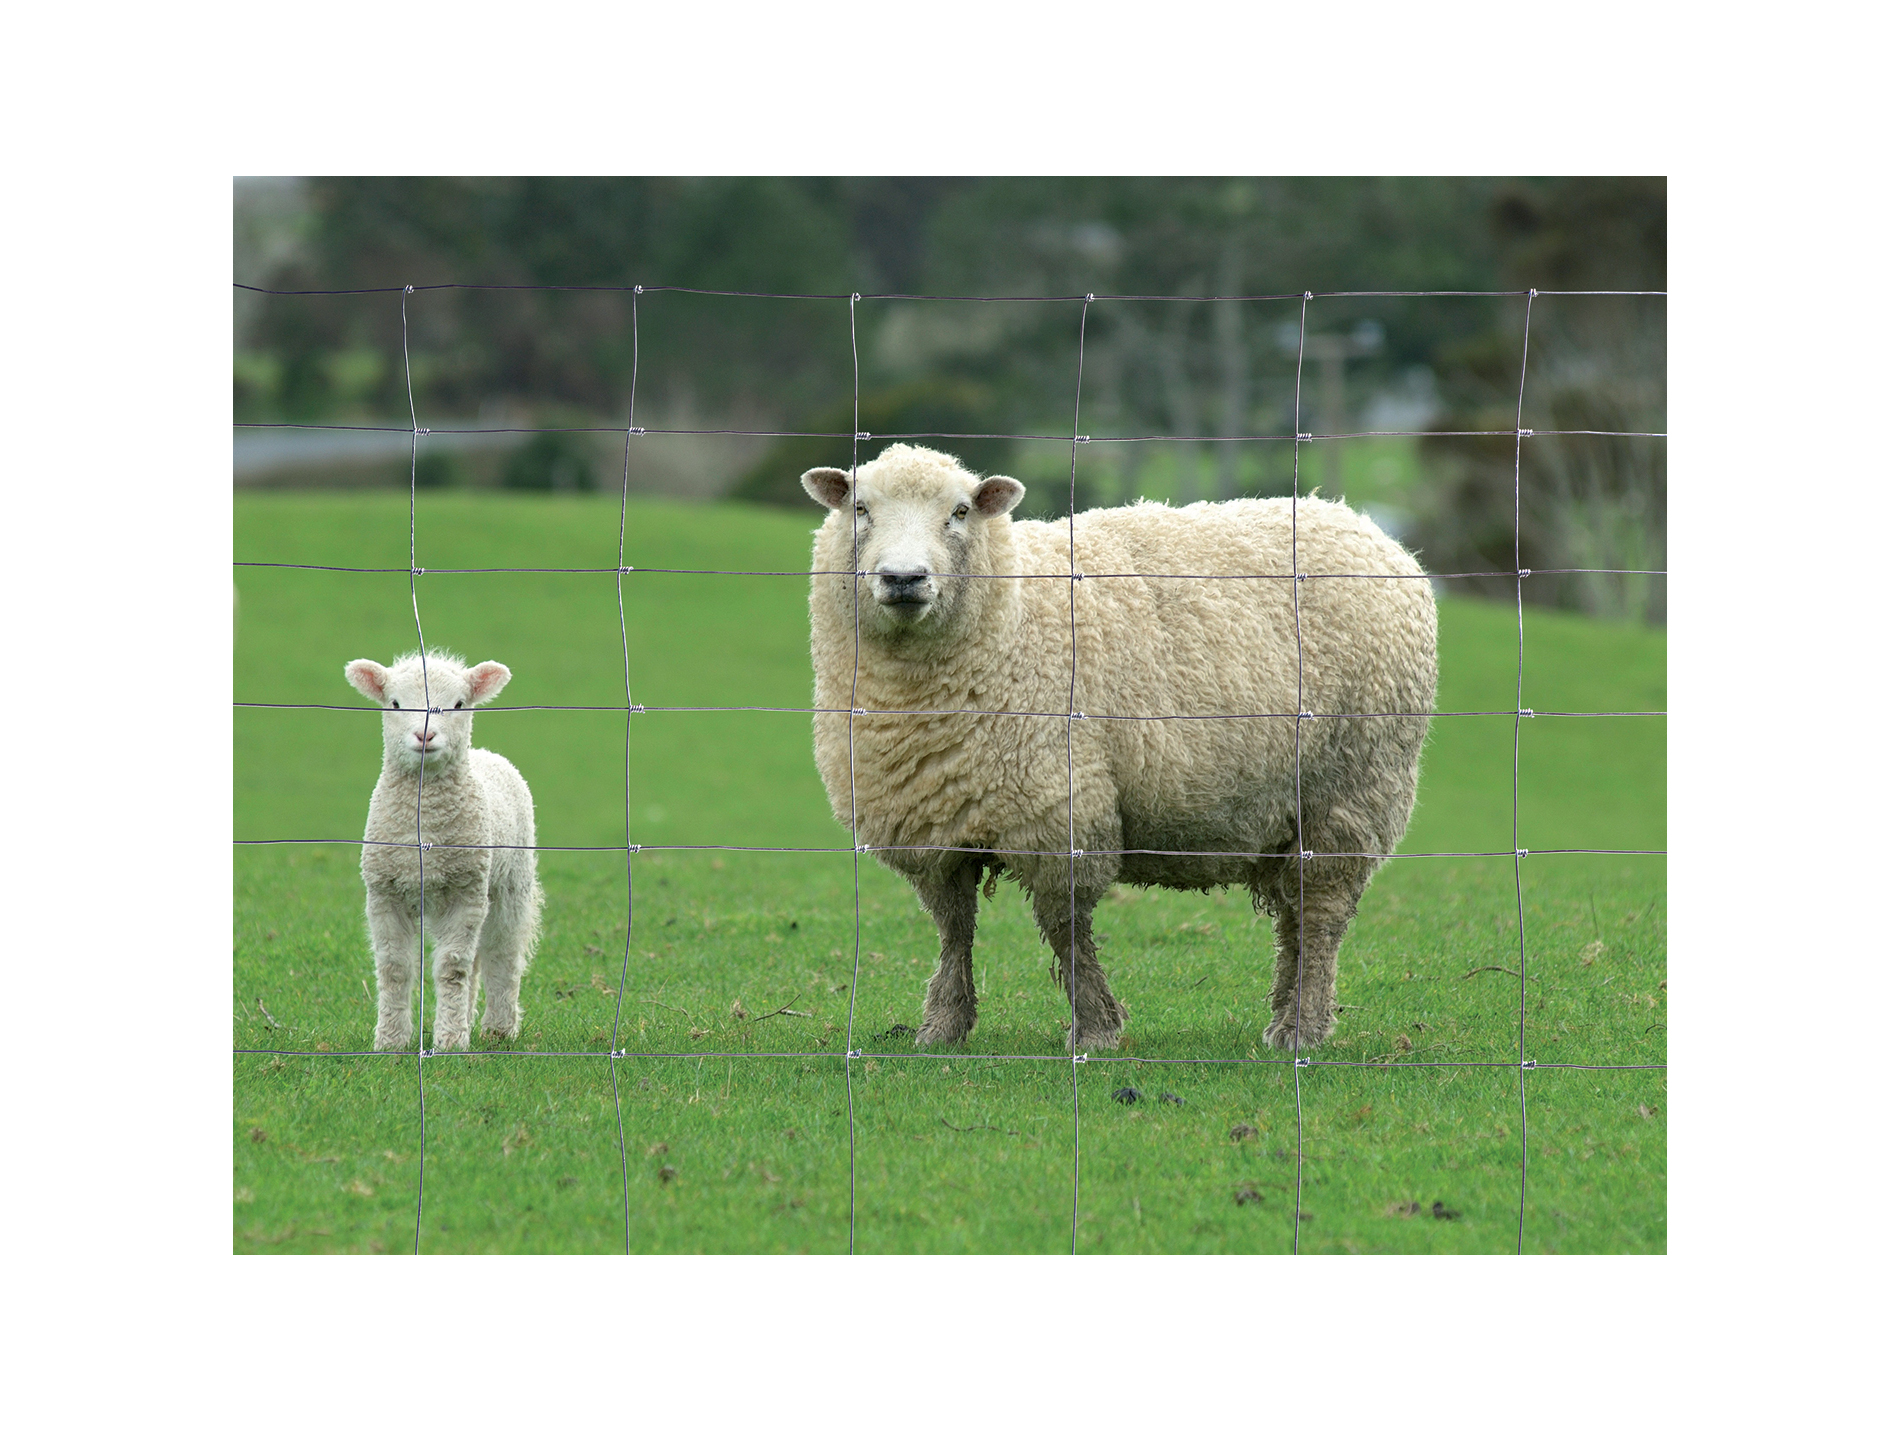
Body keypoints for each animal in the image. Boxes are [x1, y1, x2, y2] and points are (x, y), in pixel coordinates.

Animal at [344, 651, 543, 1052]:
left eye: (459, 704)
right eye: (395, 704)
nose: (425, 735)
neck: (426, 827)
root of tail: (486, 754)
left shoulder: (466, 891)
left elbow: (452, 968)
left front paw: (451, 1041)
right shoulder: (384, 891)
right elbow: (394, 967)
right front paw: (391, 1040)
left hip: (509, 885)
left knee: (502, 954)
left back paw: (498, 1028)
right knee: (477, 962)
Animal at [801, 443, 1436, 1052]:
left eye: (959, 512)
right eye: (860, 508)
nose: (903, 579)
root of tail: (1363, 525)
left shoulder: (1061, 812)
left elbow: (1065, 930)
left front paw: (1094, 1029)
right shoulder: (932, 825)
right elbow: (953, 928)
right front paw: (943, 1026)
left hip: (1353, 787)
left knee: (1323, 911)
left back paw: (1302, 1027)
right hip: (1288, 815)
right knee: (1294, 920)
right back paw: (1285, 1012)